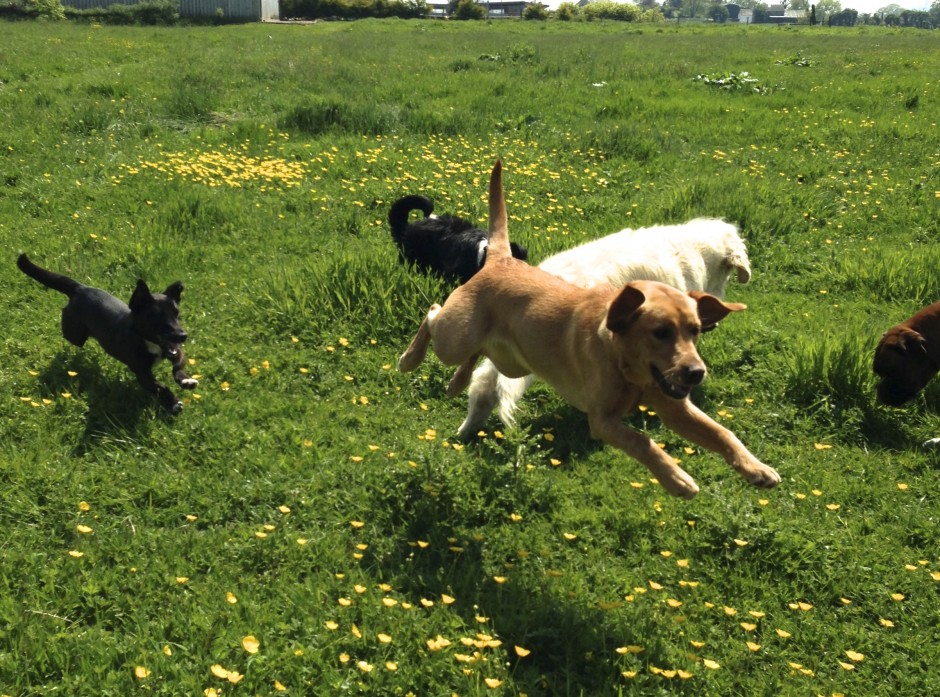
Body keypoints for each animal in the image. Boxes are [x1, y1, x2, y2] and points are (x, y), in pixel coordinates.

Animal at [17, 254, 197, 414]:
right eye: (158, 317)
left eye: (177, 314)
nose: (183, 336)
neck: (149, 342)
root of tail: (80, 288)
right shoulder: (142, 374)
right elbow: (161, 387)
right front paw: (173, 403)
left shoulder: (176, 351)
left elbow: (178, 365)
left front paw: (186, 380)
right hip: (74, 334)